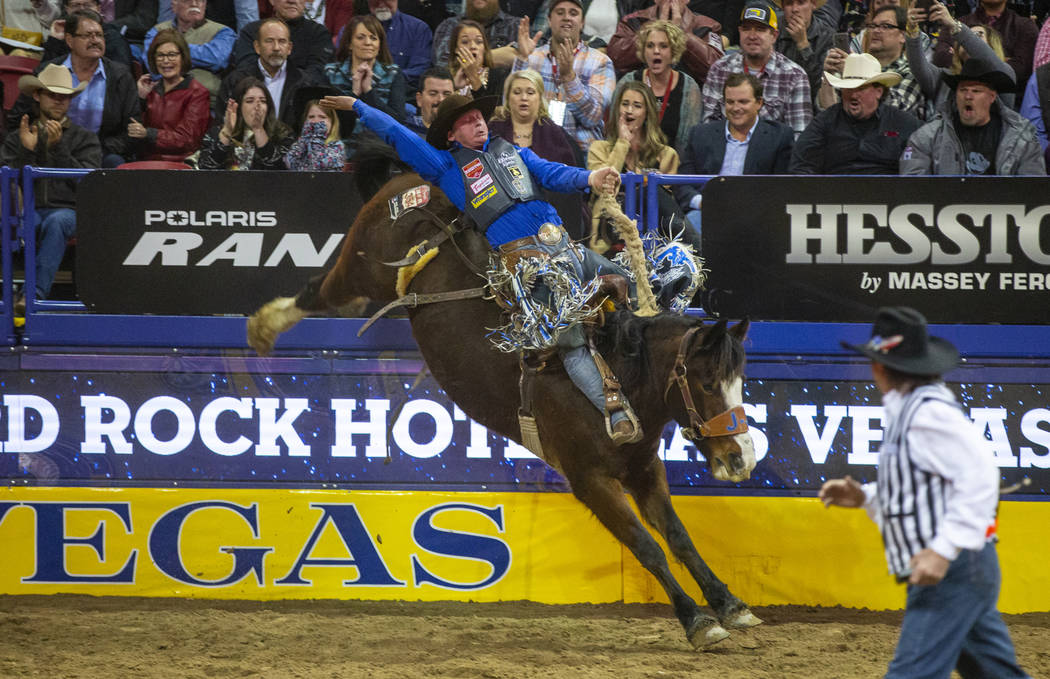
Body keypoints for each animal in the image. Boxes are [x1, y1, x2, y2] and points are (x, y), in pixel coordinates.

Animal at [250, 170, 768, 646]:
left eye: (739, 382)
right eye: (706, 382)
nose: (742, 456)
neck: (617, 379)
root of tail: (413, 178)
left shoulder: (643, 470)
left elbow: (678, 538)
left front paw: (730, 604)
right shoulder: (590, 481)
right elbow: (647, 547)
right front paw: (697, 621)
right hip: (361, 263)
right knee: (320, 288)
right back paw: (264, 325)